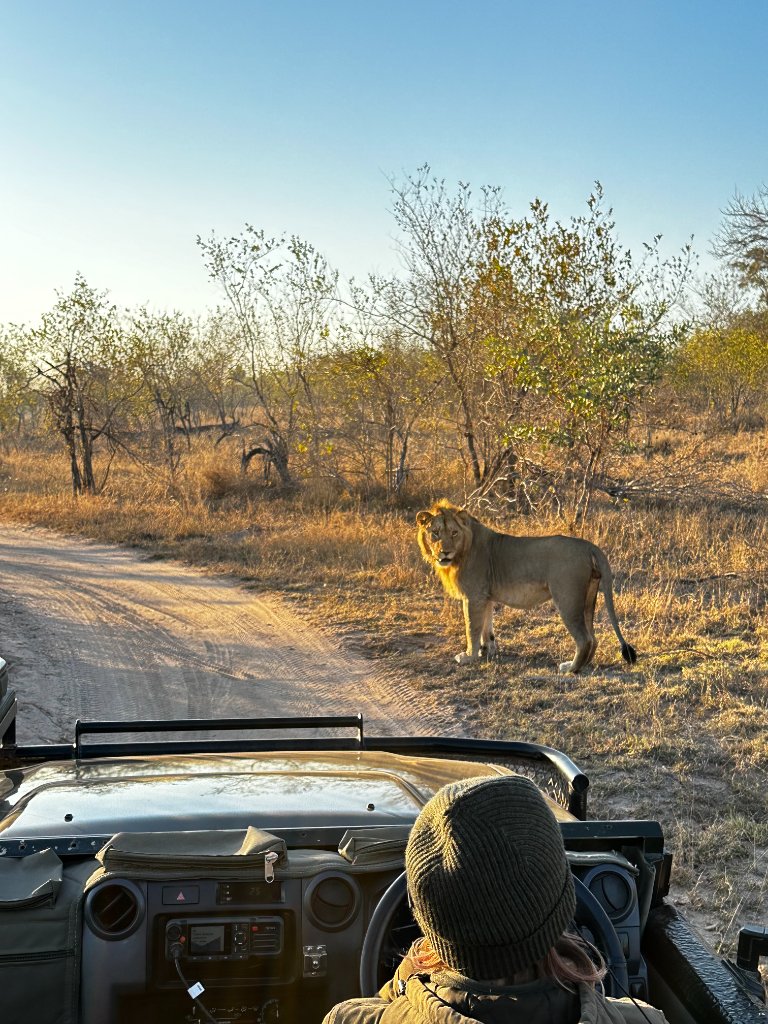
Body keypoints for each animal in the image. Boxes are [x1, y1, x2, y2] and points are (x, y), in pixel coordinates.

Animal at [416, 501, 637, 674]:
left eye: (454, 533)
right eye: (435, 533)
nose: (445, 552)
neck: (462, 552)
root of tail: (589, 546)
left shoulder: (474, 596)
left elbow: (472, 628)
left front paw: (469, 656)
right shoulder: (485, 597)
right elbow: (487, 626)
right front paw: (488, 651)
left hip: (568, 599)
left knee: (585, 639)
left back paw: (571, 669)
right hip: (588, 598)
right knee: (593, 637)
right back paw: (581, 666)